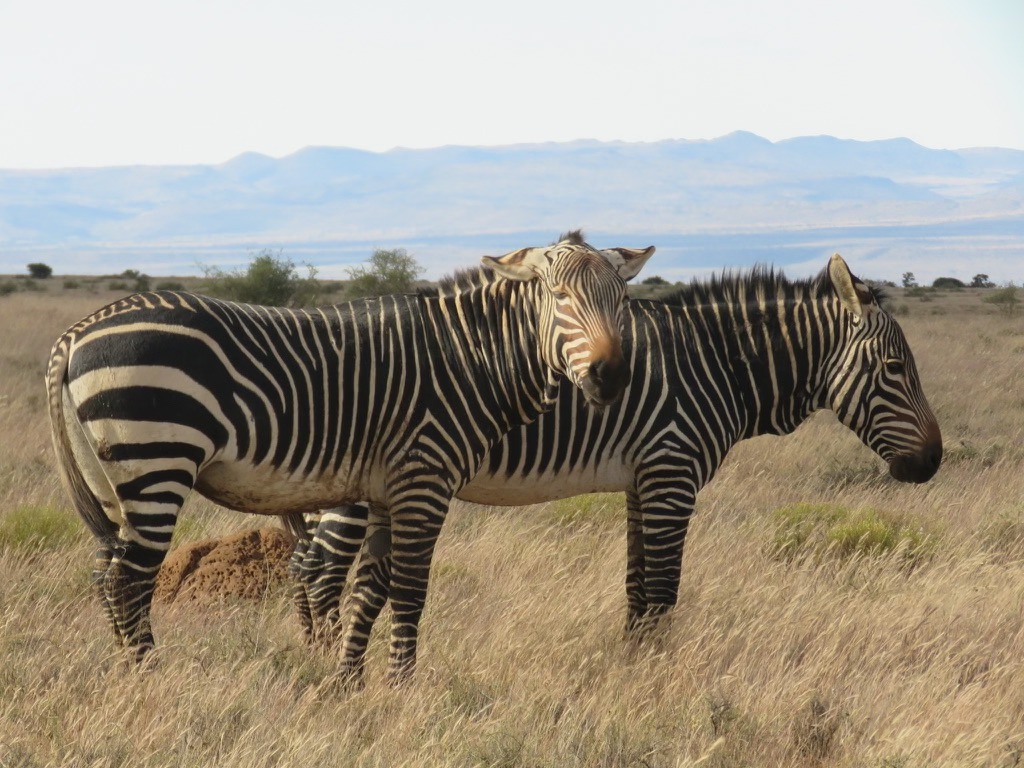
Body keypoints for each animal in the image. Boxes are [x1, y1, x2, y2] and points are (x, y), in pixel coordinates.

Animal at [45, 231, 655, 680]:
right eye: (561, 299)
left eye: (623, 304)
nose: (611, 376)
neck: (471, 356)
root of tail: (75, 333)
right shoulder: (425, 477)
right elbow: (409, 591)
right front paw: (402, 687)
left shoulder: (388, 490)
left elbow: (368, 591)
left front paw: (349, 683)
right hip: (158, 455)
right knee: (128, 582)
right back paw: (151, 678)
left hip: (110, 477)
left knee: (105, 574)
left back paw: (127, 674)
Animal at [293, 253, 942, 643]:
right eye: (895, 368)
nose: (933, 462)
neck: (719, 364)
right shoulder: (671, 475)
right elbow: (662, 592)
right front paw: (657, 683)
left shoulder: (642, 480)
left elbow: (636, 589)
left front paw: (631, 669)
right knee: (321, 576)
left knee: (308, 568)